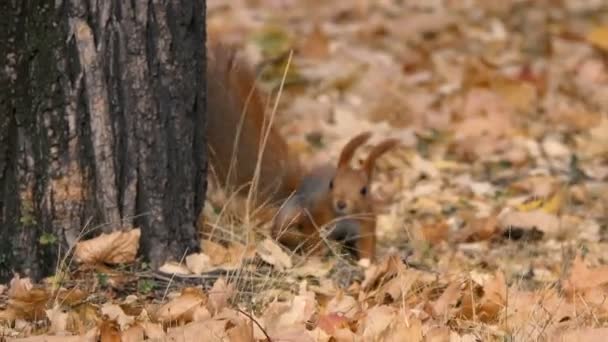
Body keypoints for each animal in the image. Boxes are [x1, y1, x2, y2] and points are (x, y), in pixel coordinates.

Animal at [207, 42, 402, 262]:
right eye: (331, 184)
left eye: (364, 190)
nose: (341, 203)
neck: (342, 216)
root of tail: (298, 185)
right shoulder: (316, 213)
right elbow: (312, 235)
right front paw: (318, 254)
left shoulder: (366, 221)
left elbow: (368, 243)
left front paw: (368, 262)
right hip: (291, 209)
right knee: (279, 229)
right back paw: (291, 238)